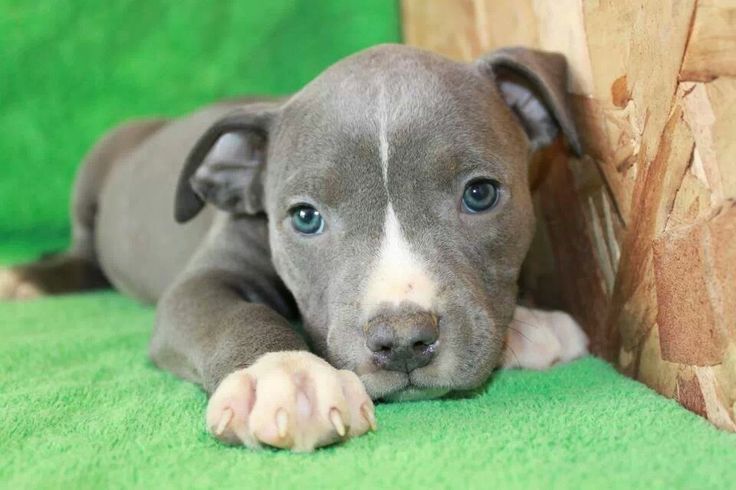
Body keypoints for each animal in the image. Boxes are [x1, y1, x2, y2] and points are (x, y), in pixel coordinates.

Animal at [0, 45, 588, 452]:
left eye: (480, 193)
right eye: (306, 217)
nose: (402, 341)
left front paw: (531, 323)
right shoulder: (202, 283)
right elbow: (238, 316)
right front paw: (286, 377)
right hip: (96, 165)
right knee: (84, 253)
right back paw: (28, 278)